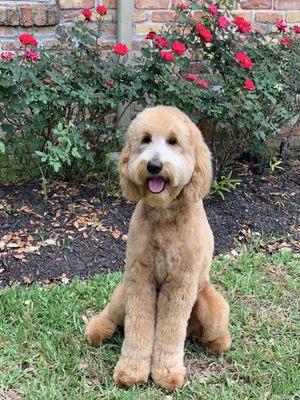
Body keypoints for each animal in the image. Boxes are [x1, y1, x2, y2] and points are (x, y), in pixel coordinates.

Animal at [85, 105, 231, 390]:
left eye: (173, 141)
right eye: (145, 140)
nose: (154, 166)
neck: (165, 215)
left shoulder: (180, 283)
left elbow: (170, 331)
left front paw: (166, 372)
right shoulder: (140, 277)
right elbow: (138, 327)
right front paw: (132, 370)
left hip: (214, 308)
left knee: (210, 331)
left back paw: (218, 343)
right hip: (123, 292)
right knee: (112, 314)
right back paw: (98, 328)